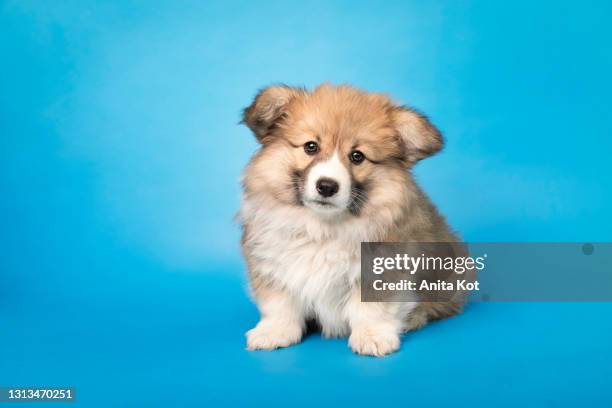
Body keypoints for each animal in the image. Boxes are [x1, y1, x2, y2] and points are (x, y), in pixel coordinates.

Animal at [239, 84, 464, 356]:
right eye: (310, 146)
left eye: (357, 156)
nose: (327, 186)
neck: (323, 227)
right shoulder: (272, 263)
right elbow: (280, 304)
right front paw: (274, 331)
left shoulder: (381, 269)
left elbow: (372, 308)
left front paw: (372, 336)